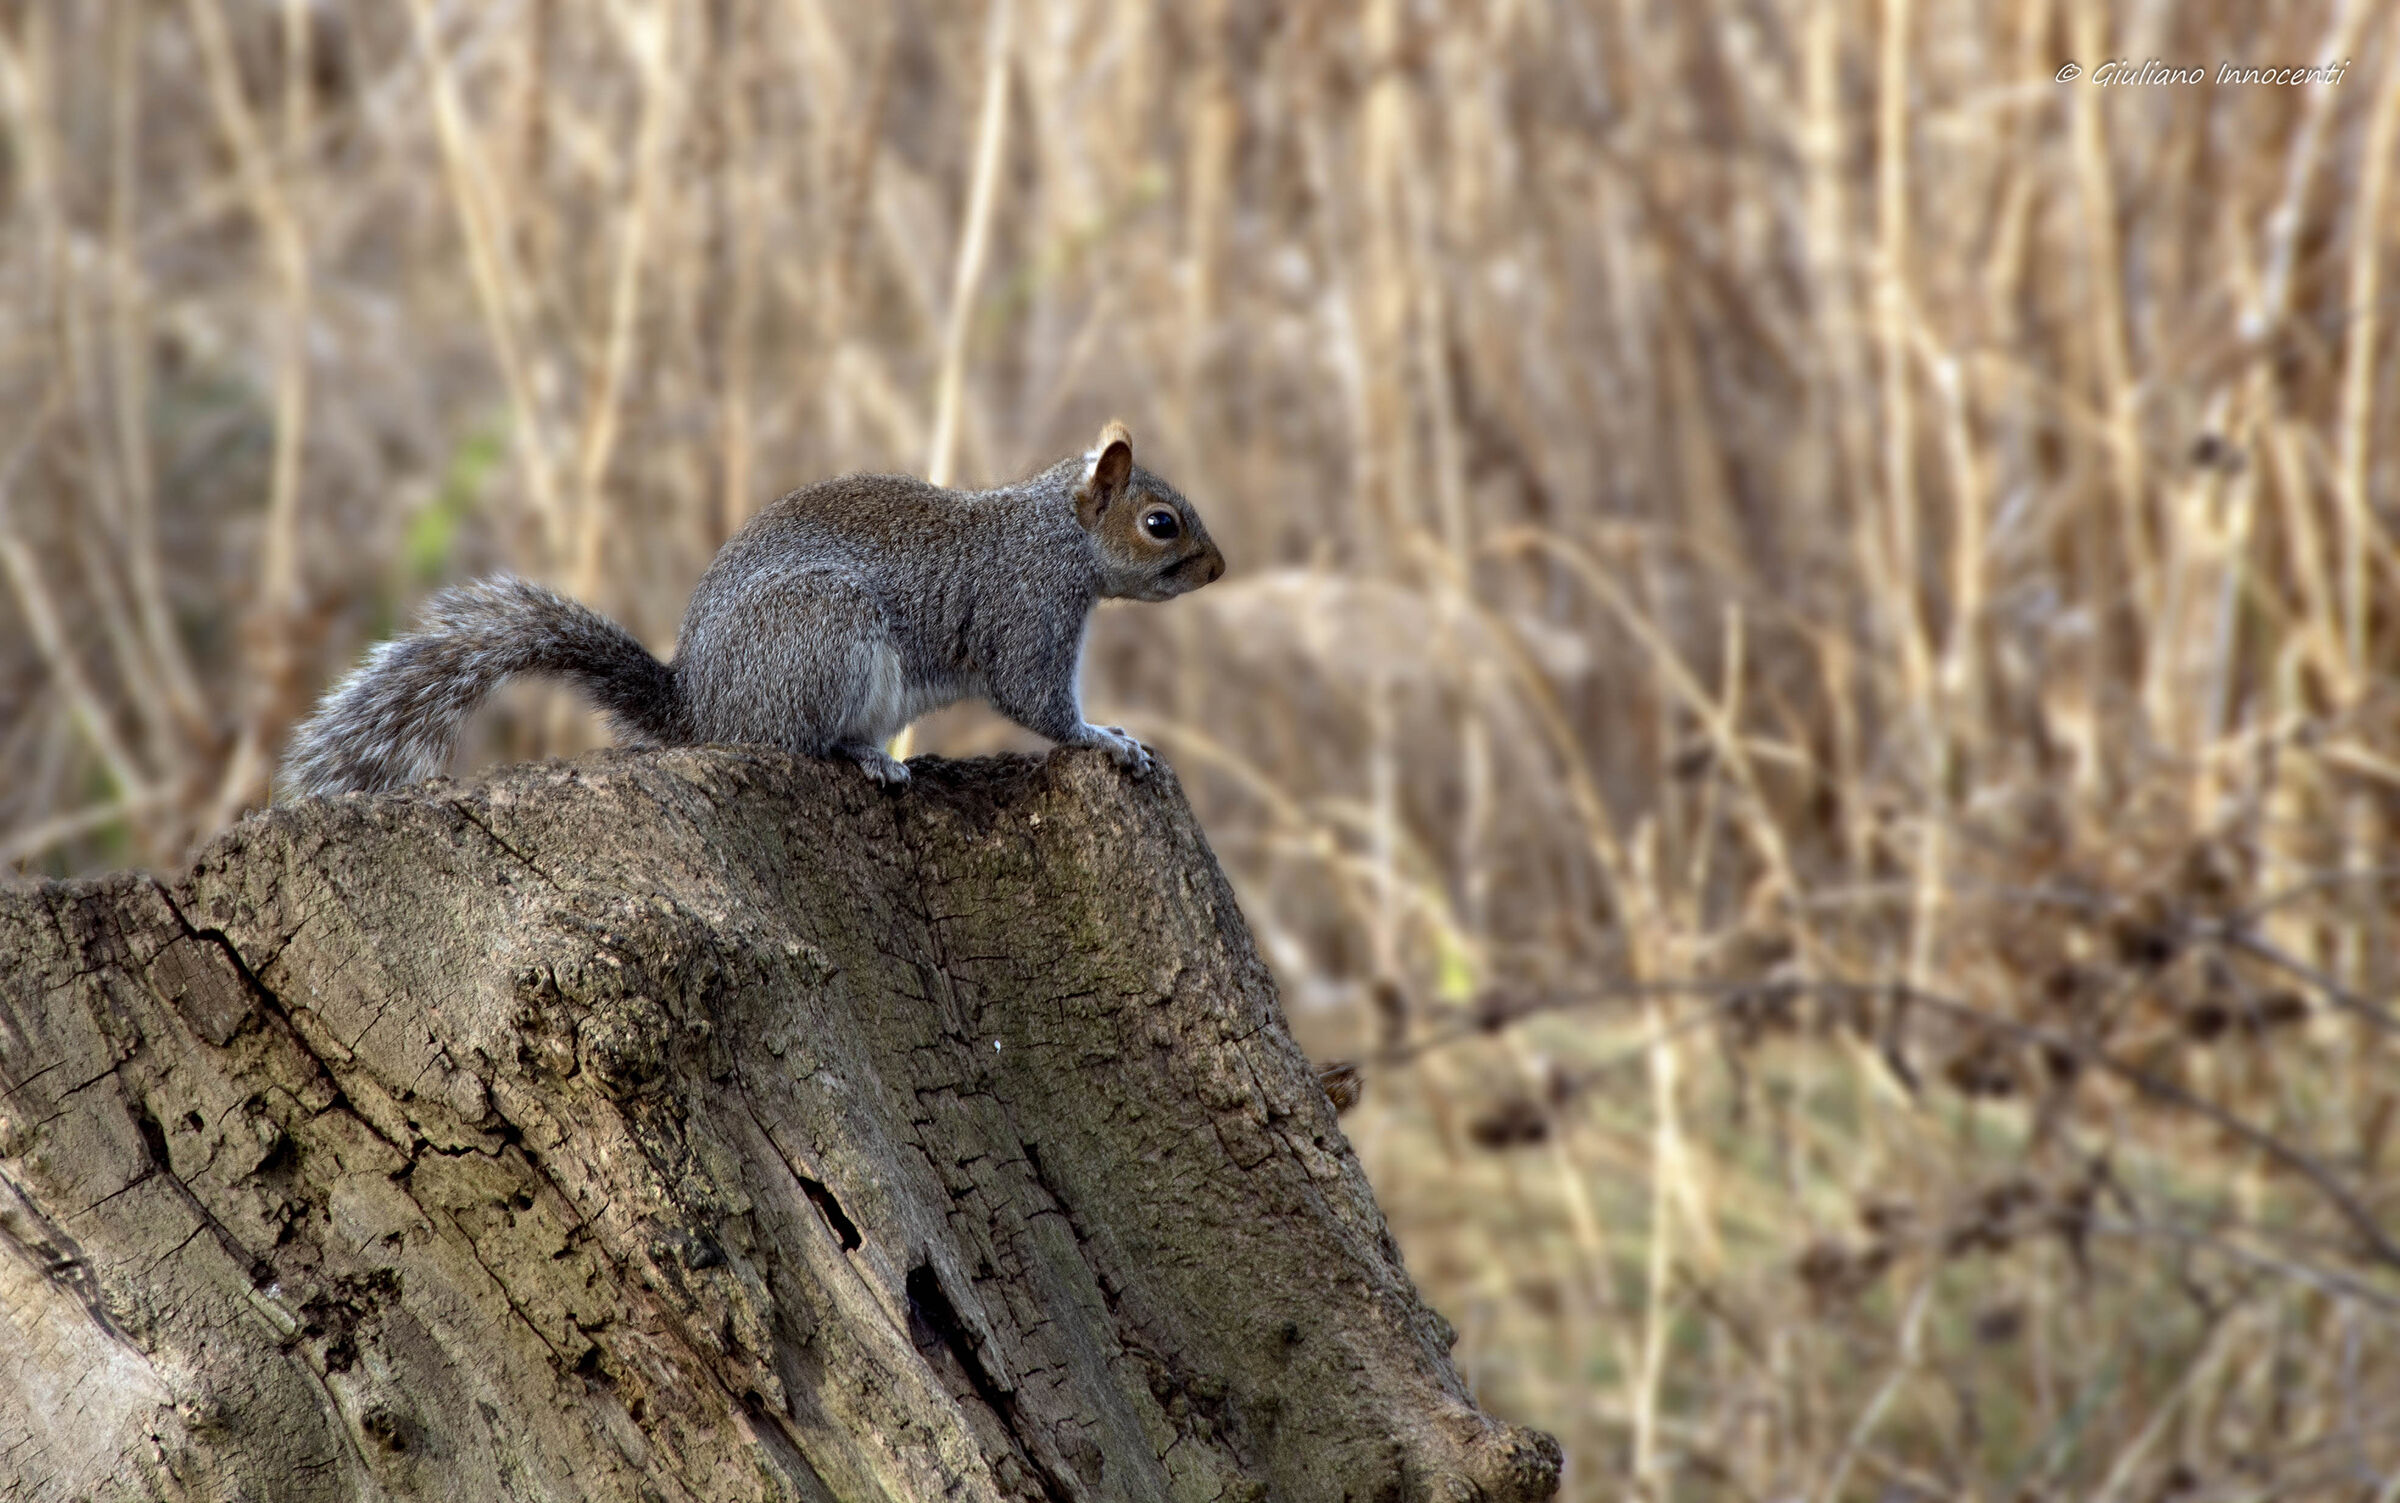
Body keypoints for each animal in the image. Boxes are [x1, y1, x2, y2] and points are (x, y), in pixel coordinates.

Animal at [278, 421, 1225, 797]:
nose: (1220, 568)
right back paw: (868, 758)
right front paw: (1110, 738)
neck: (1053, 534)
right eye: (1161, 522)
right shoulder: (1027, 612)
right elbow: (1039, 704)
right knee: (798, 740)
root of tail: (702, 708)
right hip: (825, 636)